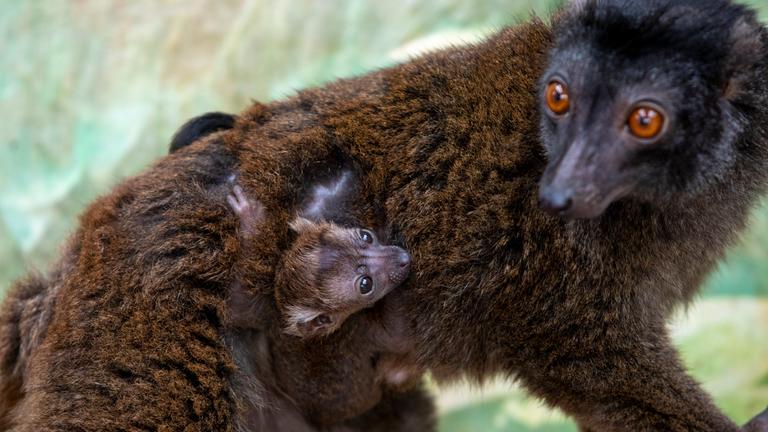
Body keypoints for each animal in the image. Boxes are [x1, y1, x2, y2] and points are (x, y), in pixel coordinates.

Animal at [4, 0, 768, 430]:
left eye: (643, 120)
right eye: (559, 98)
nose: (564, 183)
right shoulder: (559, 269)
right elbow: (584, 352)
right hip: (149, 301)